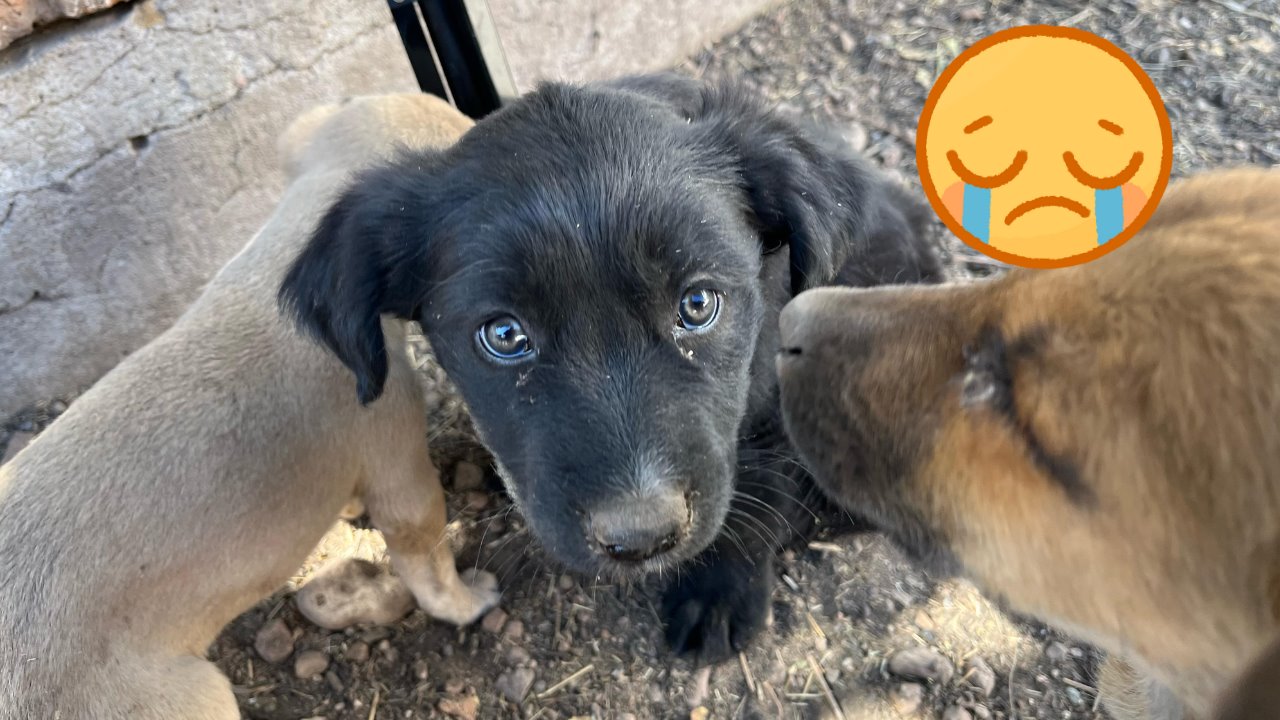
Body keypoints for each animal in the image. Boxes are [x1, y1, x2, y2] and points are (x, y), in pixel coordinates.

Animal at [280, 74, 942, 661]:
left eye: (697, 305)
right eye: (504, 335)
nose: (641, 538)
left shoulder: (772, 392)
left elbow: (761, 485)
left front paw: (721, 596)